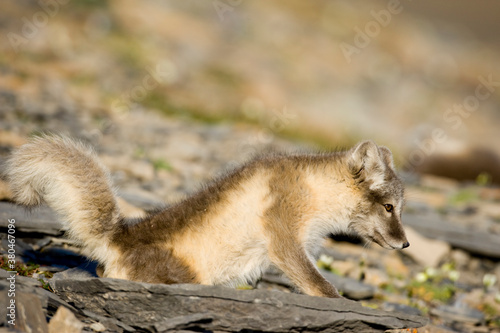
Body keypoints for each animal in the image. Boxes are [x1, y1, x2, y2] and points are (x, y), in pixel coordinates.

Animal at [4, 134, 410, 296]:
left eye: (401, 209)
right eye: (389, 207)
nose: (406, 244)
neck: (315, 190)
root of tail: (119, 238)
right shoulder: (283, 240)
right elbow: (322, 287)